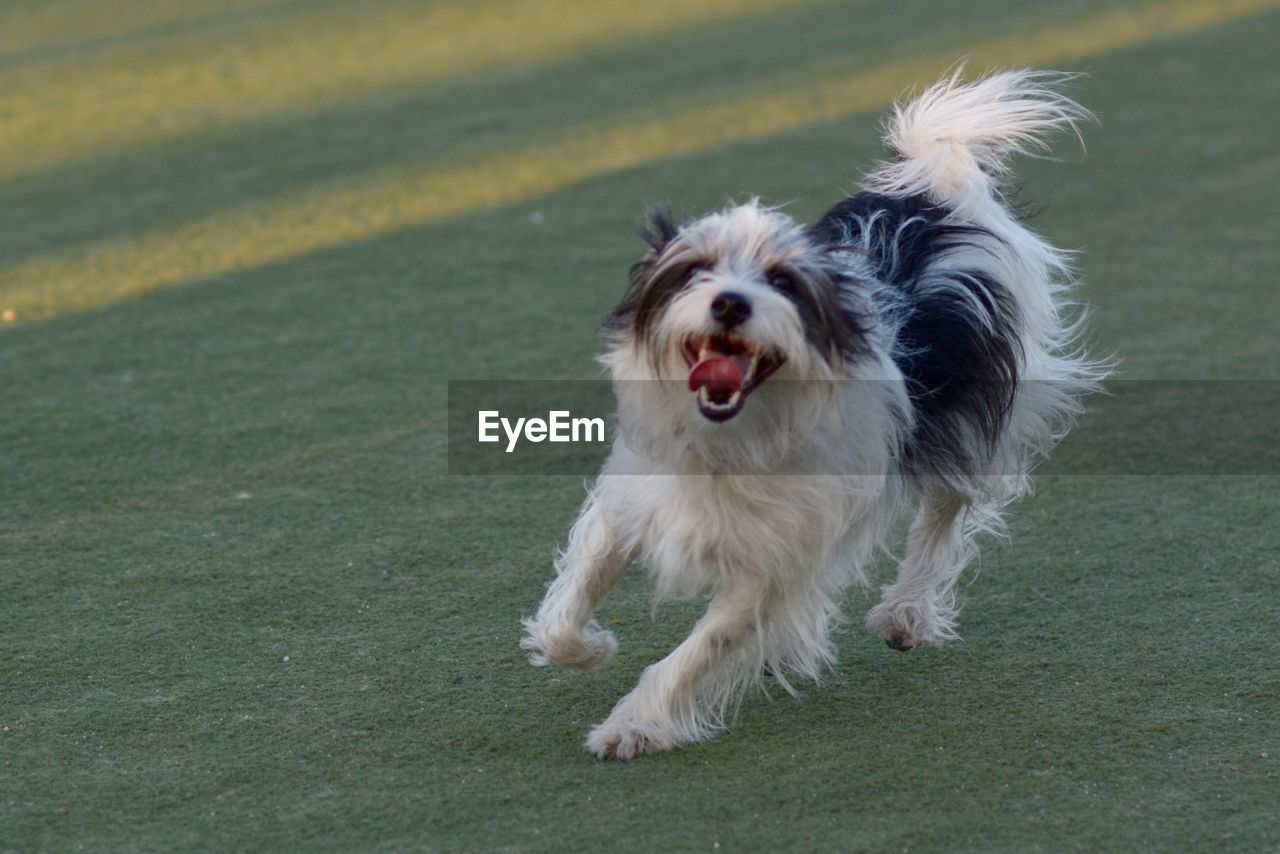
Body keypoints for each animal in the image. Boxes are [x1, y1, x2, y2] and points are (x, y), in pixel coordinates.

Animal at [519, 68, 1100, 763]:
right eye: (696, 269)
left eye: (783, 282)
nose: (730, 303)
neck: (732, 442)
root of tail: (932, 195)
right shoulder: (637, 498)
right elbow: (572, 599)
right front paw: (589, 648)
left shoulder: (772, 564)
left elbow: (697, 651)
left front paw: (635, 723)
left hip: (974, 415)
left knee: (947, 505)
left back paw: (905, 612)